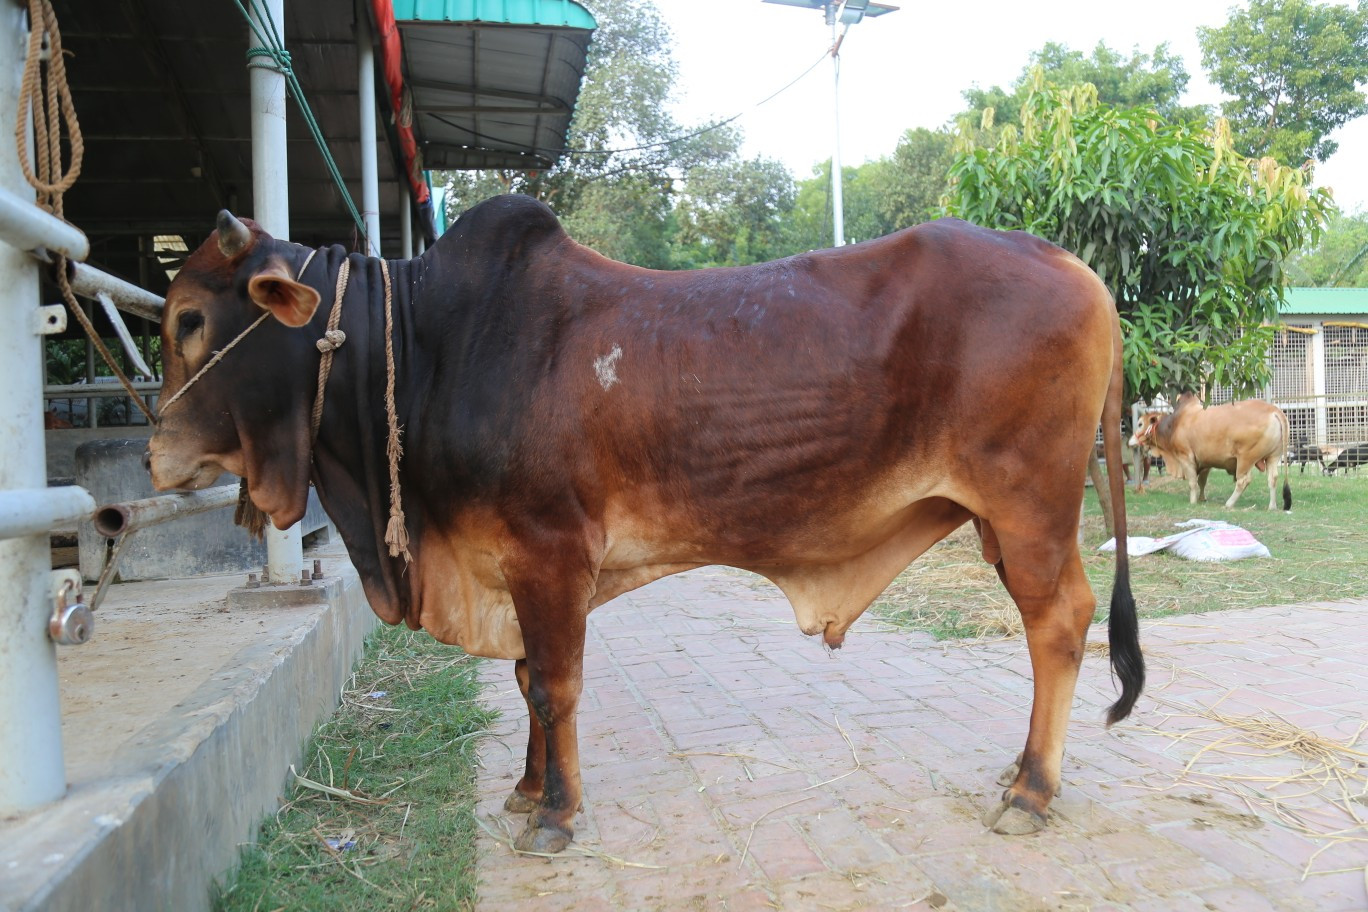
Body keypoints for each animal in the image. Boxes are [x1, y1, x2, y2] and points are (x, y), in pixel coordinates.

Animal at [146, 197, 1143, 854]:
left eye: (191, 317)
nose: (155, 453)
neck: (428, 347)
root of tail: (1078, 269)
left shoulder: (547, 553)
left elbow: (553, 687)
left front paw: (554, 816)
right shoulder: (514, 565)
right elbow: (524, 683)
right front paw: (525, 791)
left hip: (1029, 509)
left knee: (1060, 624)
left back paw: (1033, 791)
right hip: (1002, 520)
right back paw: (1018, 775)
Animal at [1130, 393, 1291, 511]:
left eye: (1140, 424)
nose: (1130, 441)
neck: (1173, 425)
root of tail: (1274, 411)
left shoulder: (1186, 458)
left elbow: (1192, 482)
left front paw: (1193, 501)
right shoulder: (1205, 462)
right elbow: (1202, 482)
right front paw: (1202, 498)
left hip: (1245, 459)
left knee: (1243, 481)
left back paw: (1229, 503)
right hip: (1273, 457)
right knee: (1272, 479)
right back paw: (1272, 506)